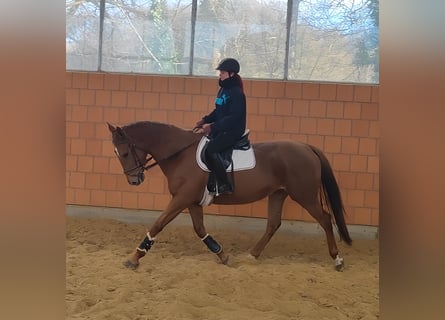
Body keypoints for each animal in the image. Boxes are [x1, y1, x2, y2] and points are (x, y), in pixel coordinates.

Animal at [106, 121, 350, 272]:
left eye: (125, 153)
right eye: (117, 154)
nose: (134, 180)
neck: (180, 154)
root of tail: (306, 147)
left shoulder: (181, 199)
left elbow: (158, 224)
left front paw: (134, 258)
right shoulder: (191, 201)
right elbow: (200, 229)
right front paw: (222, 255)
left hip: (304, 195)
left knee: (325, 219)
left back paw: (337, 259)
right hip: (278, 194)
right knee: (273, 224)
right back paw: (252, 255)